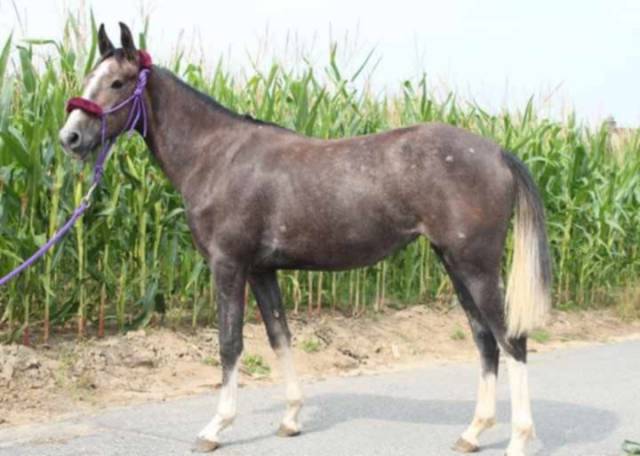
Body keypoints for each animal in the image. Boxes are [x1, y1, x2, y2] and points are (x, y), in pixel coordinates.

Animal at [59, 23, 552, 456]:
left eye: (118, 82)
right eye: (88, 78)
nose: (70, 137)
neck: (216, 156)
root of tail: (497, 152)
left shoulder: (228, 265)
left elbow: (230, 343)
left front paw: (216, 427)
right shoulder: (262, 270)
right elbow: (279, 336)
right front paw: (291, 419)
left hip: (476, 266)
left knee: (511, 341)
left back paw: (518, 439)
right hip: (454, 263)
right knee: (484, 340)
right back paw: (473, 433)